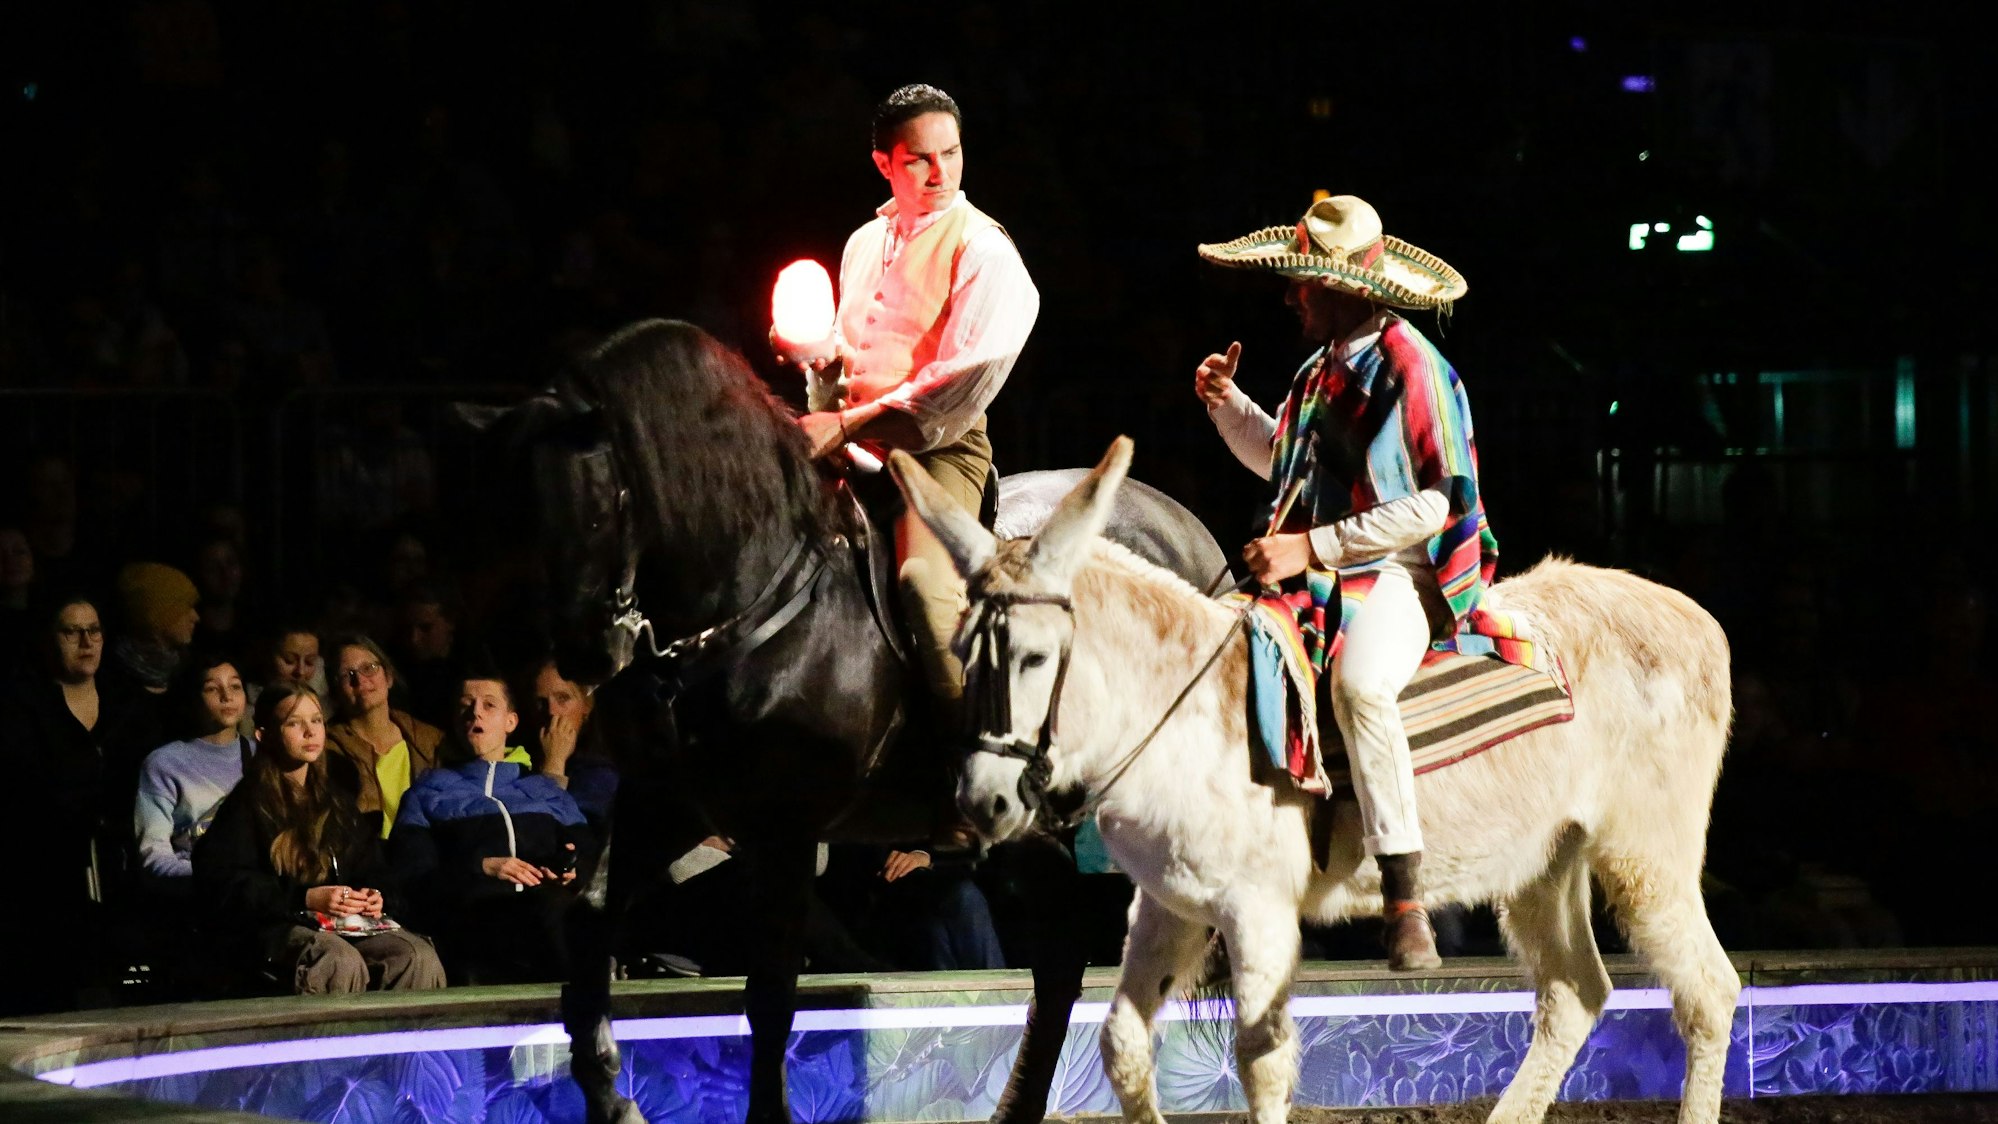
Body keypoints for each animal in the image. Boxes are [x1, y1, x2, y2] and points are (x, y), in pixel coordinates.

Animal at [461, 320, 1229, 1124]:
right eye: (527, 510)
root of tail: (1187, 532)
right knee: (1059, 957)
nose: (586, 651)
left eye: (607, 501)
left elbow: (771, 991)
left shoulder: (785, 829)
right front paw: (613, 1099)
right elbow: (589, 924)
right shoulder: (664, 803)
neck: (755, 604)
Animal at [888, 436, 1739, 1124]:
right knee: (1573, 995)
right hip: (1543, 864)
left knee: (1708, 992)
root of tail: (1693, 616)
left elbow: (1261, 1061)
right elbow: (1125, 1045)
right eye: (958, 650)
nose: (982, 800)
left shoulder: (1260, 913)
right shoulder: (1168, 905)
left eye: (1034, 656)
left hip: (1646, 857)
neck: (1182, 707)